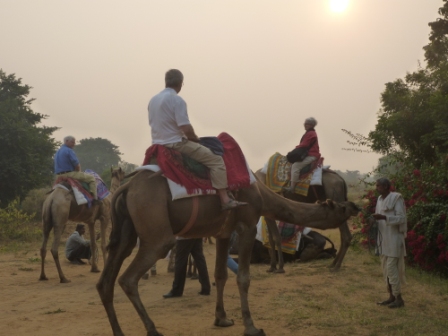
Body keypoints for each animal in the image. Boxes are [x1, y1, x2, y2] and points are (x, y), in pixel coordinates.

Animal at [96, 171, 358, 336]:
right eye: (341, 207)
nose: (354, 206)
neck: (262, 193)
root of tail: (126, 188)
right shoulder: (247, 225)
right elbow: (243, 278)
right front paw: (252, 327)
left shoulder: (223, 233)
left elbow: (220, 274)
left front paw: (222, 319)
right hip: (155, 228)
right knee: (128, 278)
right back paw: (152, 329)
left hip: (127, 230)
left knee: (106, 280)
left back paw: (118, 331)